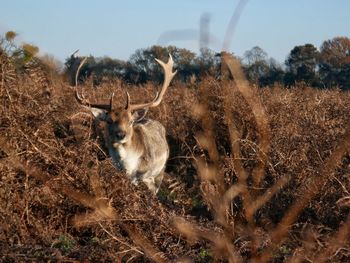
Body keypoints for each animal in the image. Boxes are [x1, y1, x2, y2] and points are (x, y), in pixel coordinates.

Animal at [74, 54, 178, 194]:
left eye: (130, 121)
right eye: (109, 120)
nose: (120, 134)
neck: (129, 167)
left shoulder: (143, 176)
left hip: (161, 170)